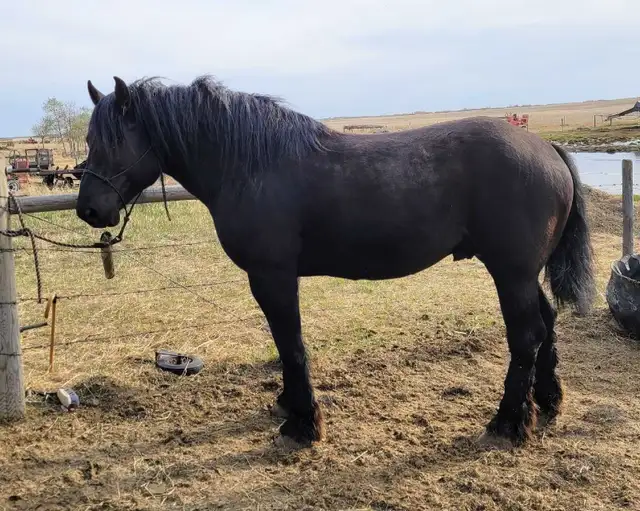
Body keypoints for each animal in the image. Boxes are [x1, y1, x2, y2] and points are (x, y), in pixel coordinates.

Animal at [76, 76, 595, 449]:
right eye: (88, 139)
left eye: (112, 141)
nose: (89, 210)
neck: (251, 165)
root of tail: (546, 148)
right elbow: (286, 345)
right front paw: (288, 406)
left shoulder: (272, 276)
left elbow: (291, 345)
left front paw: (303, 425)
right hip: (523, 273)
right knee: (547, 323)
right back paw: (547, 401)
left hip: (510, 272)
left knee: (525, 336)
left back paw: (508, 423)